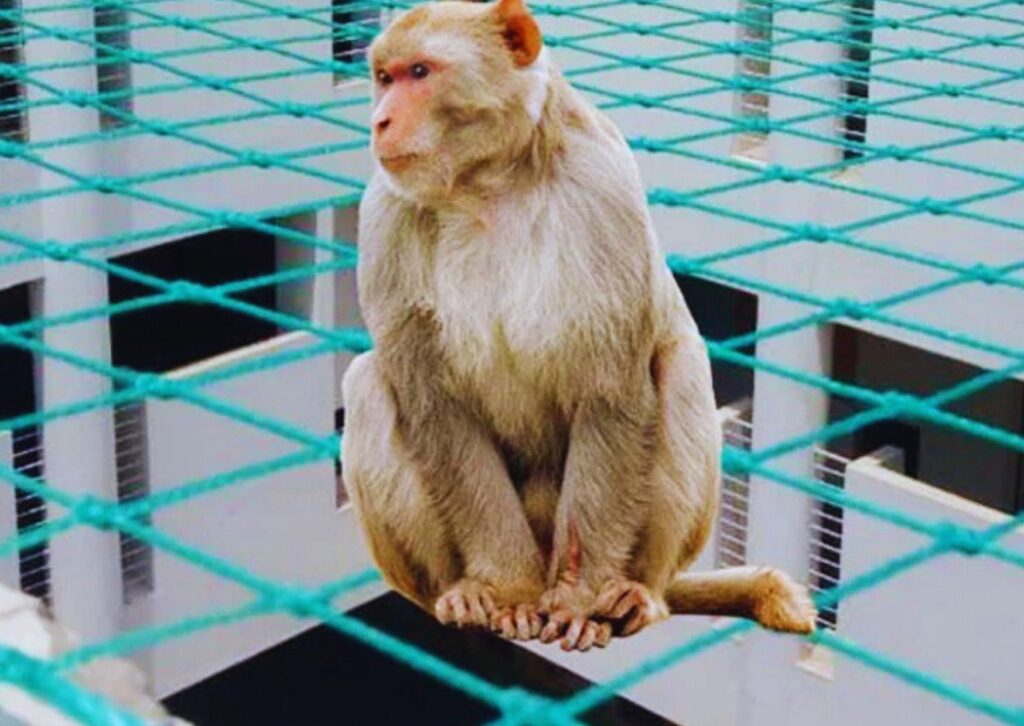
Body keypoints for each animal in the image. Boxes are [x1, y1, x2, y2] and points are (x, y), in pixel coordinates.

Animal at [341, 0, 817, 651]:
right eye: (384, 77)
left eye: (420, 72)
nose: (381, 120)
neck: (488, 186)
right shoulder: (385, 216)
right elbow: (436, 406)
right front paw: (508, 589)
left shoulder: (603, 191)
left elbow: (610, 392)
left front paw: (578, 599)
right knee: (369, 381)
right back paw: (460, 592)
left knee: (680, 365)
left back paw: (636, 595)